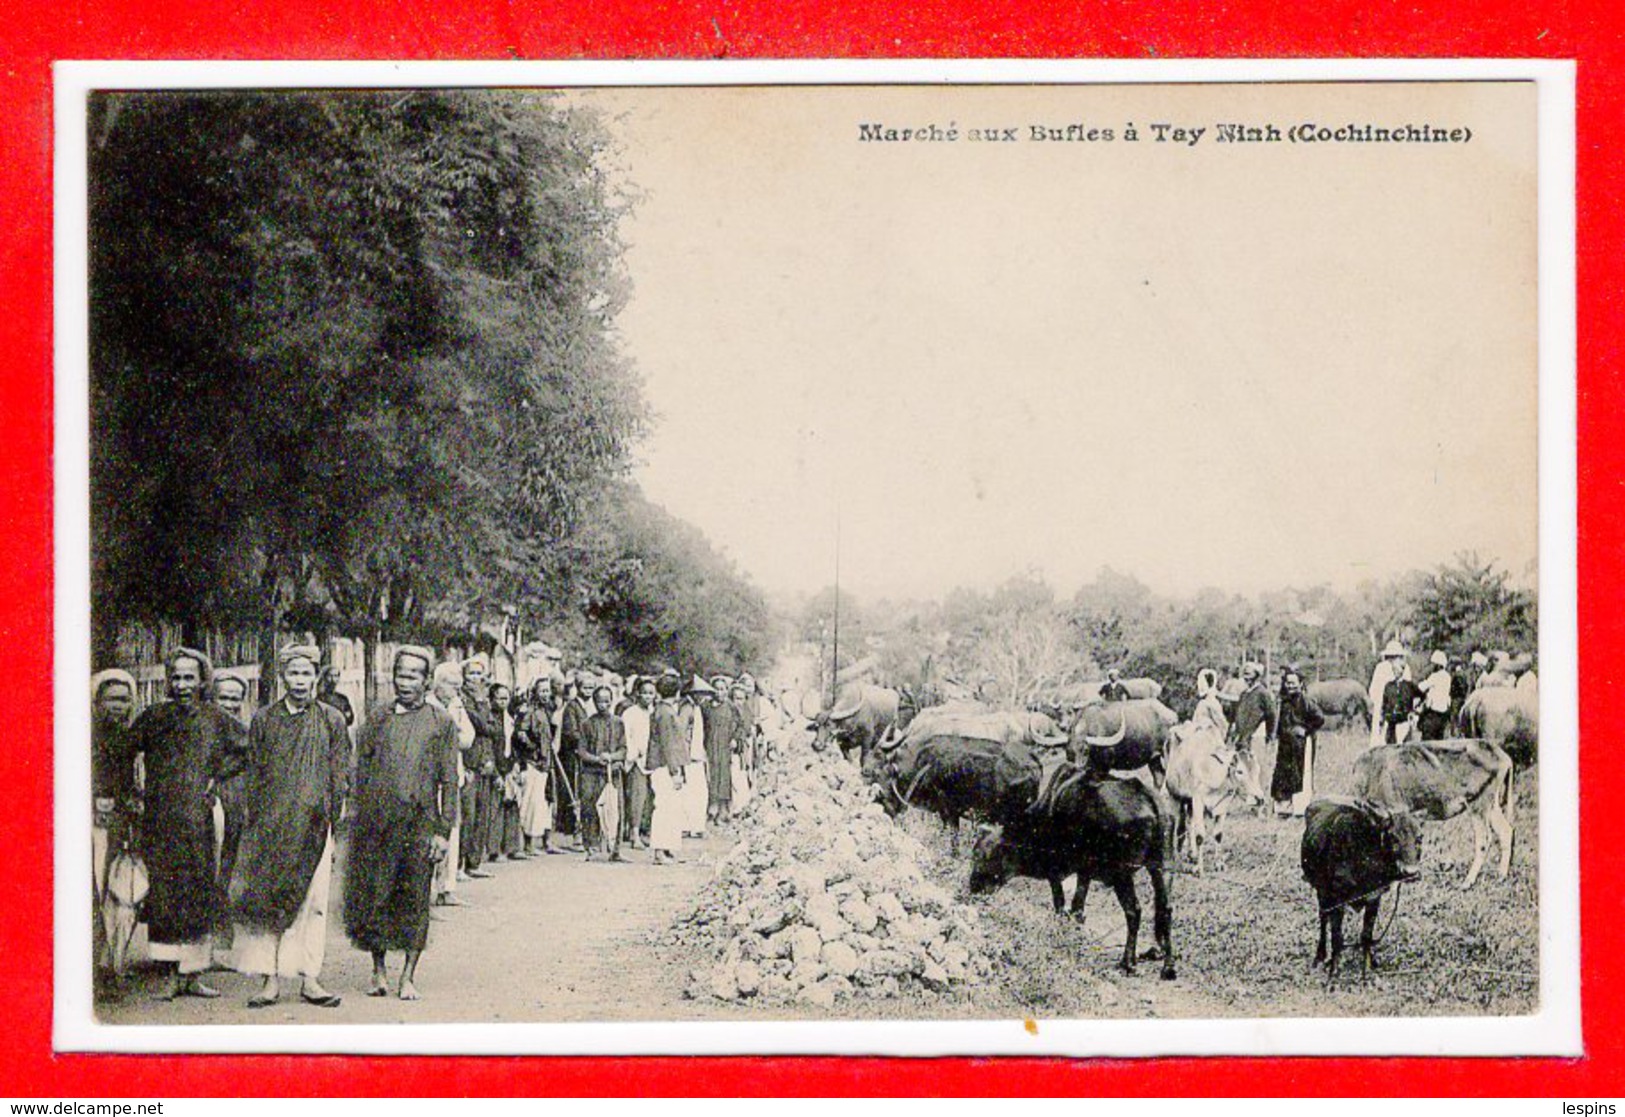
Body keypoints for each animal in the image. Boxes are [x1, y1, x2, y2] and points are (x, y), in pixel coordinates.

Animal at [962, 773, 1183, 982]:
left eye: (985, 855)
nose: (973, 887)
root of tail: (1150, 800)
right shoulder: (1084, 871)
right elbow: (1078, 905)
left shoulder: (1054, 871)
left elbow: (1060, 904)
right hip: (1163, 867)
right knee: (1165, 910)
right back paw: (1168, 967)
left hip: (1121, 874)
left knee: (1134, 912)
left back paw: (1128, 963)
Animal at [1293, 796, 1423, 988]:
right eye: (1393, 837)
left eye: (1419, 838)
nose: (1411, 873)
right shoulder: (1336, 899)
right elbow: (1337, 938)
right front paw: (1333, 975)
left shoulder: (1374, 898)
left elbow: (1366, 936)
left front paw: (1366, 972)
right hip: (1321, 893)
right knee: (1323, 919)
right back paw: (1320, 957)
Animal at [1352, 741, 1514, 890]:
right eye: (1394, 838)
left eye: (1419, 837)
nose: (1411, 871)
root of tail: (1502, 755)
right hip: (1492, 805)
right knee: (1505, 830)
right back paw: (1501, 877)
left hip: (1479, 804)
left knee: (1483, 839)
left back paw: (1467, 882)